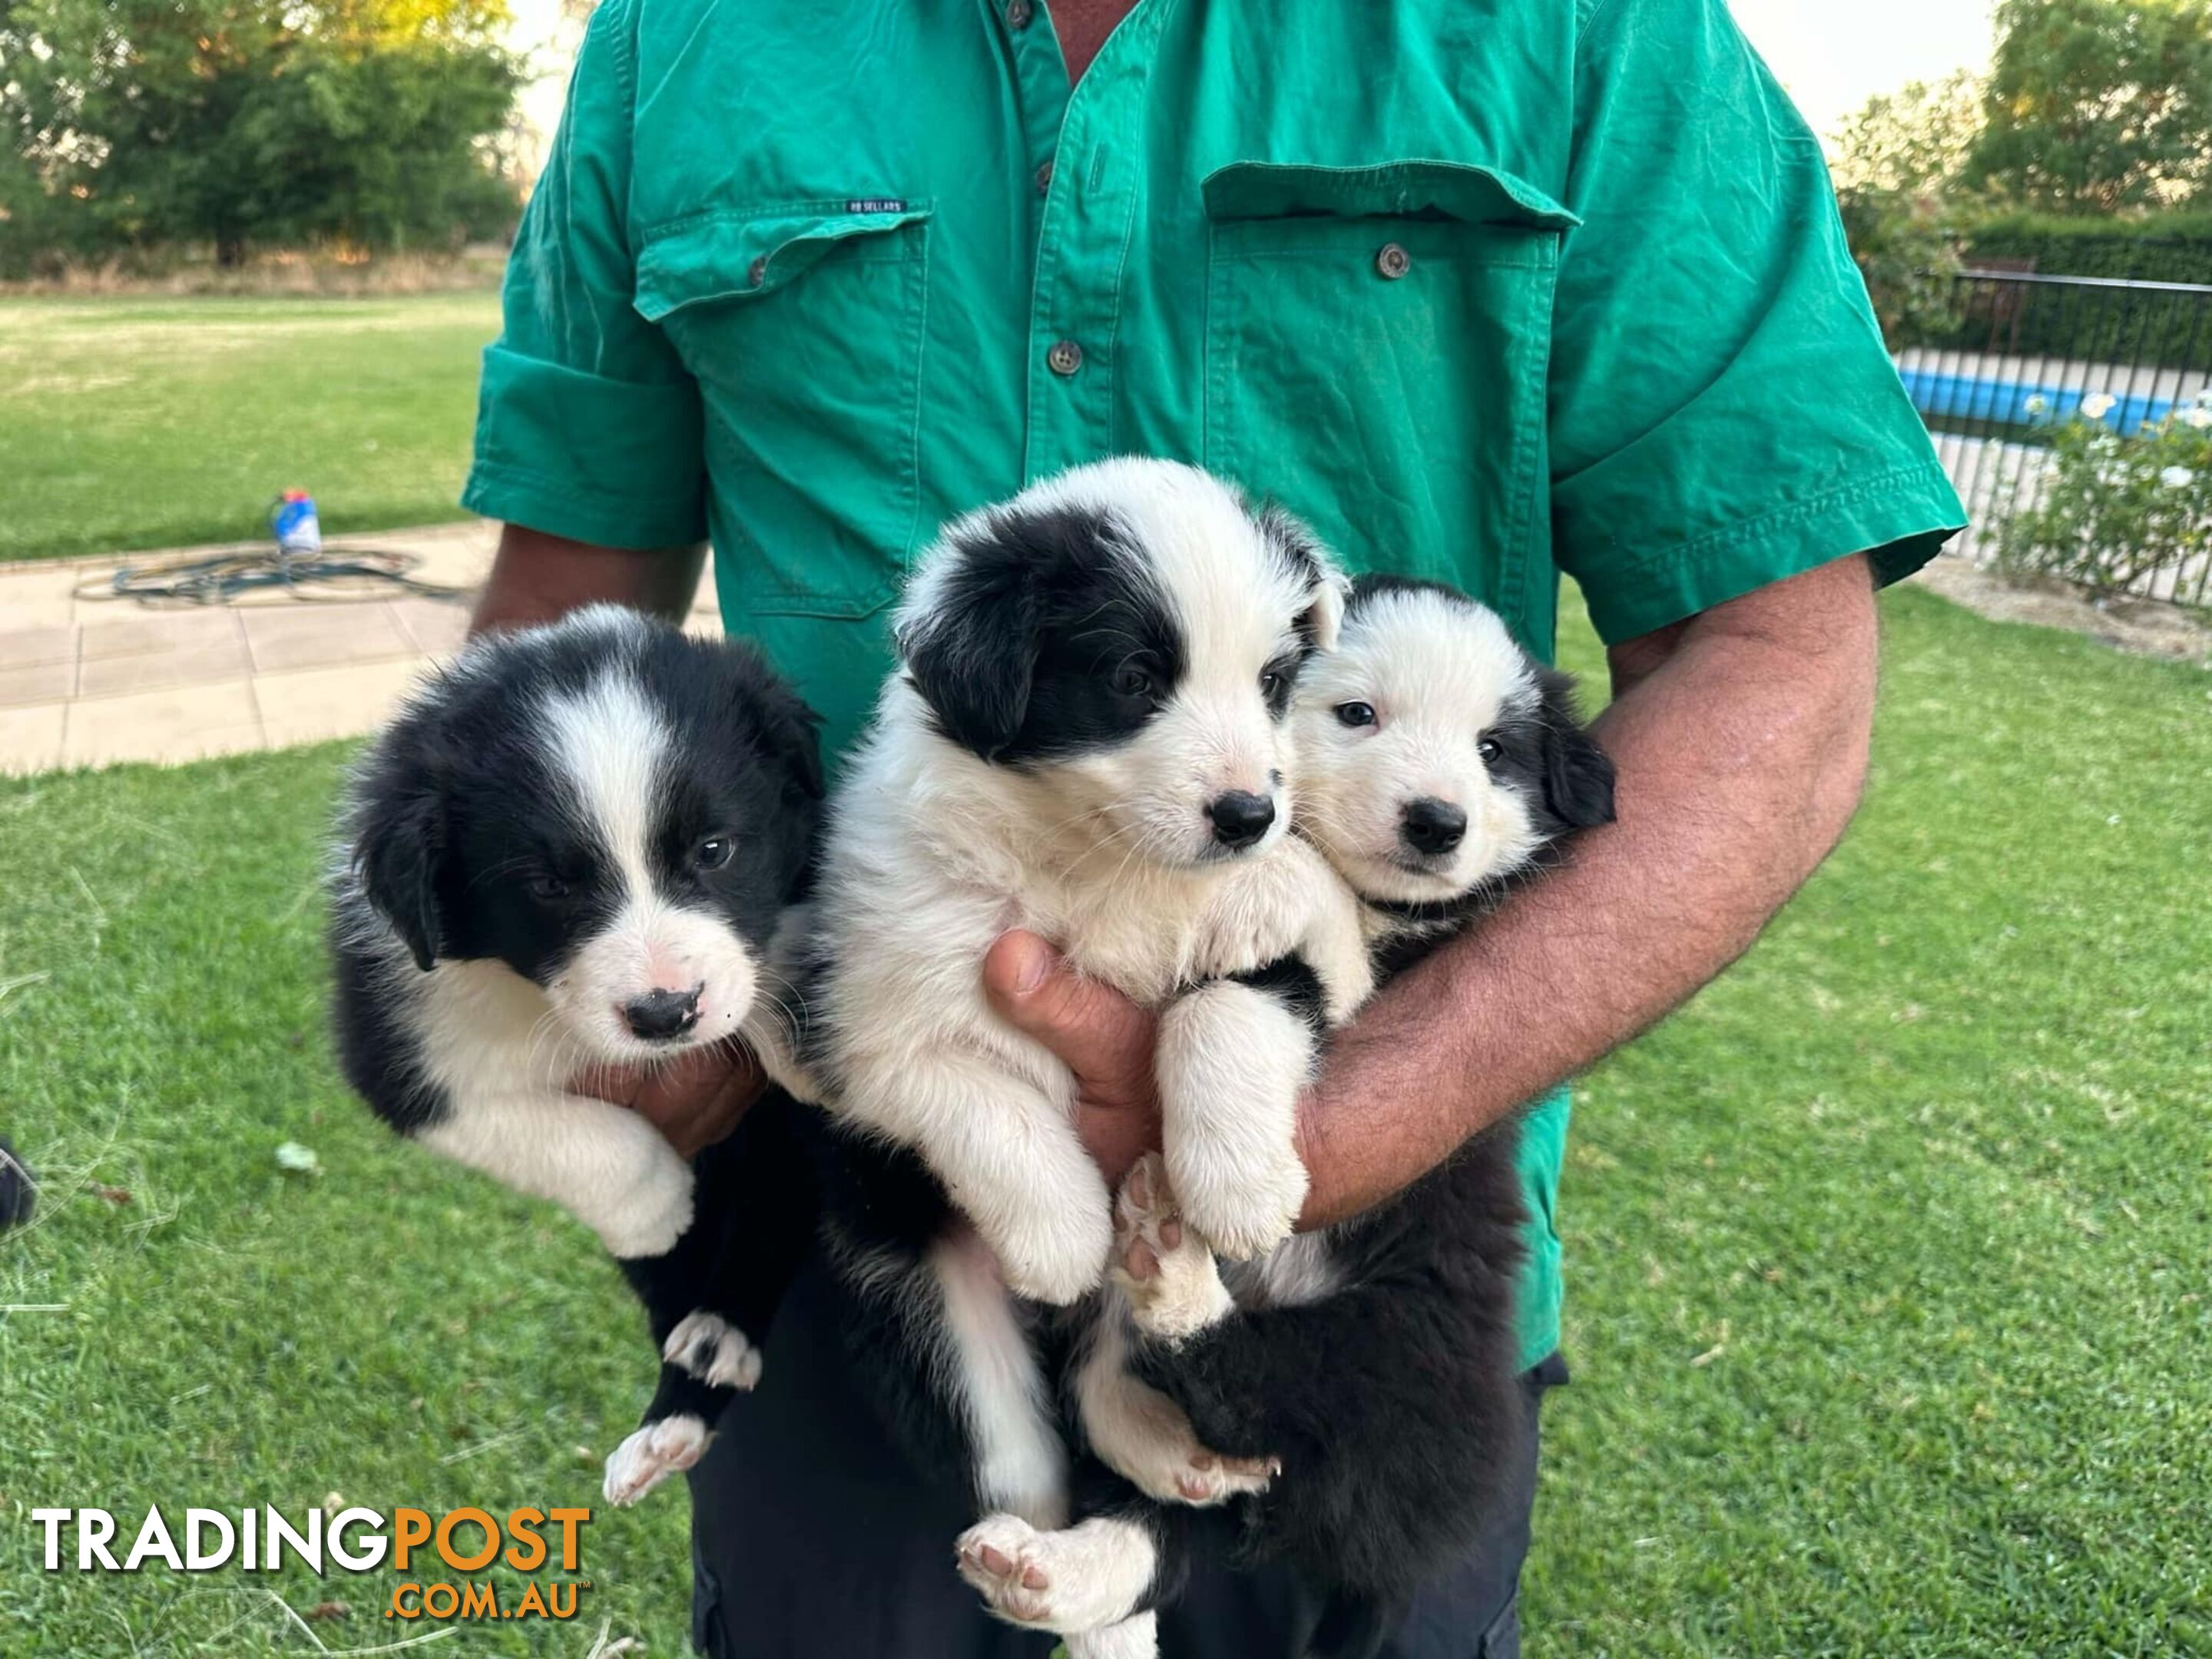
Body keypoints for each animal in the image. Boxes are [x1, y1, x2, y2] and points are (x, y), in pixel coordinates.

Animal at [323, 606, 818, 1504]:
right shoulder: (405, 1053)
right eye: (550, 886)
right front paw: (655, 1197)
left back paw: (713, 1344)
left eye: (716, 850)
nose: (666, 1013)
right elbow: (568, 1138)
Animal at [946, 579, 1610, 1659]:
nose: (1438, 822)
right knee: (1180, 1510)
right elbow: (1228, 989)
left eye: (1495, 749)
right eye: (1357, 714)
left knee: (1265, 1395)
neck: (1379, 913)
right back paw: (1056, 1559)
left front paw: (1237, 1181)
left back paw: (1172, 1287)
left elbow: (1224, 1005)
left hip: (1411, 1340)